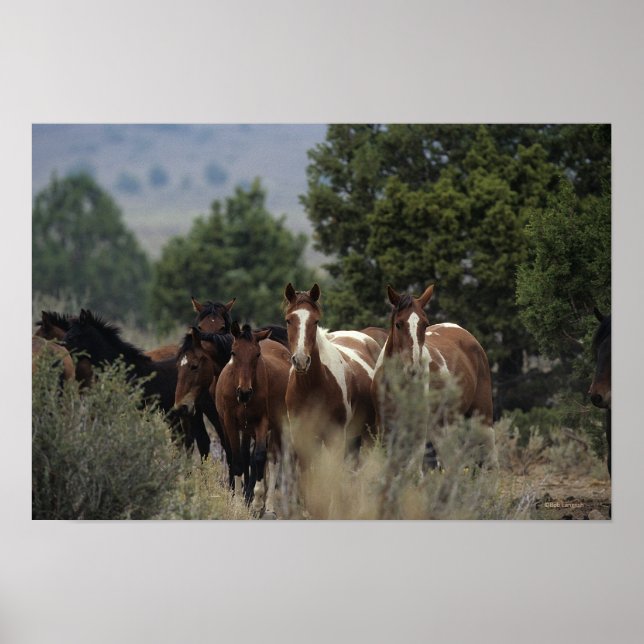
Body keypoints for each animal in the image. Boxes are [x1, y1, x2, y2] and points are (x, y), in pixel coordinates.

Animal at [215, 322, 291, 516]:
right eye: (234, 352)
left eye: (257, 354)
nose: (244, 392)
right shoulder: (230, 423)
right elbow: (237, 459)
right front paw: (237, 503)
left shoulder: (262, 422)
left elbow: (259, 457)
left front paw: (257, 503)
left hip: (277, 425)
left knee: (273, 459)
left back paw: (268, 506)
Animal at [283, 283, 381, 478]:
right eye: (289, 320)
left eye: (315, 321)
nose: (301, 360)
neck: (312, 387)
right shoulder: (302, 439)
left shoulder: (335, 438)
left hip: (368, 434)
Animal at [372, 284, 495, 470]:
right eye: (398, 324)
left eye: (425, 324)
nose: (414, 368)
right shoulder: (385, 427)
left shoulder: (419, 428)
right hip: (442, 428)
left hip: (482, 417)